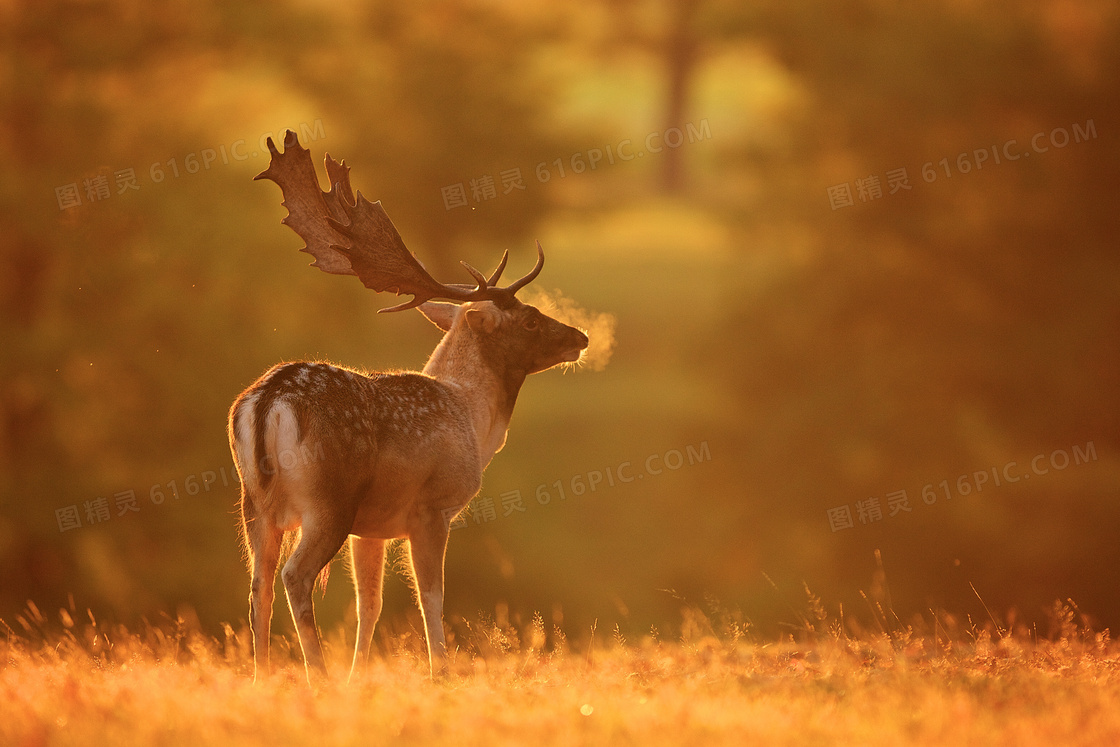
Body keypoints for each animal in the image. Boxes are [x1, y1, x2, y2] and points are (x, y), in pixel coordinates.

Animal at [230, 128, 591, 685]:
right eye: (530, 318)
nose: (581, 336)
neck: (472, 419)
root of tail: (268, 399)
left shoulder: (372, 528)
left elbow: (370, 604)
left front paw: (359, 676)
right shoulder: (431, 507)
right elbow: (431, 597)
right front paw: (440, 672)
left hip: (255, 505)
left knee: (258, 586)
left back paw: (262, 678)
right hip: (328, 501)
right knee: (295, 576)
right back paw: (318, 677)